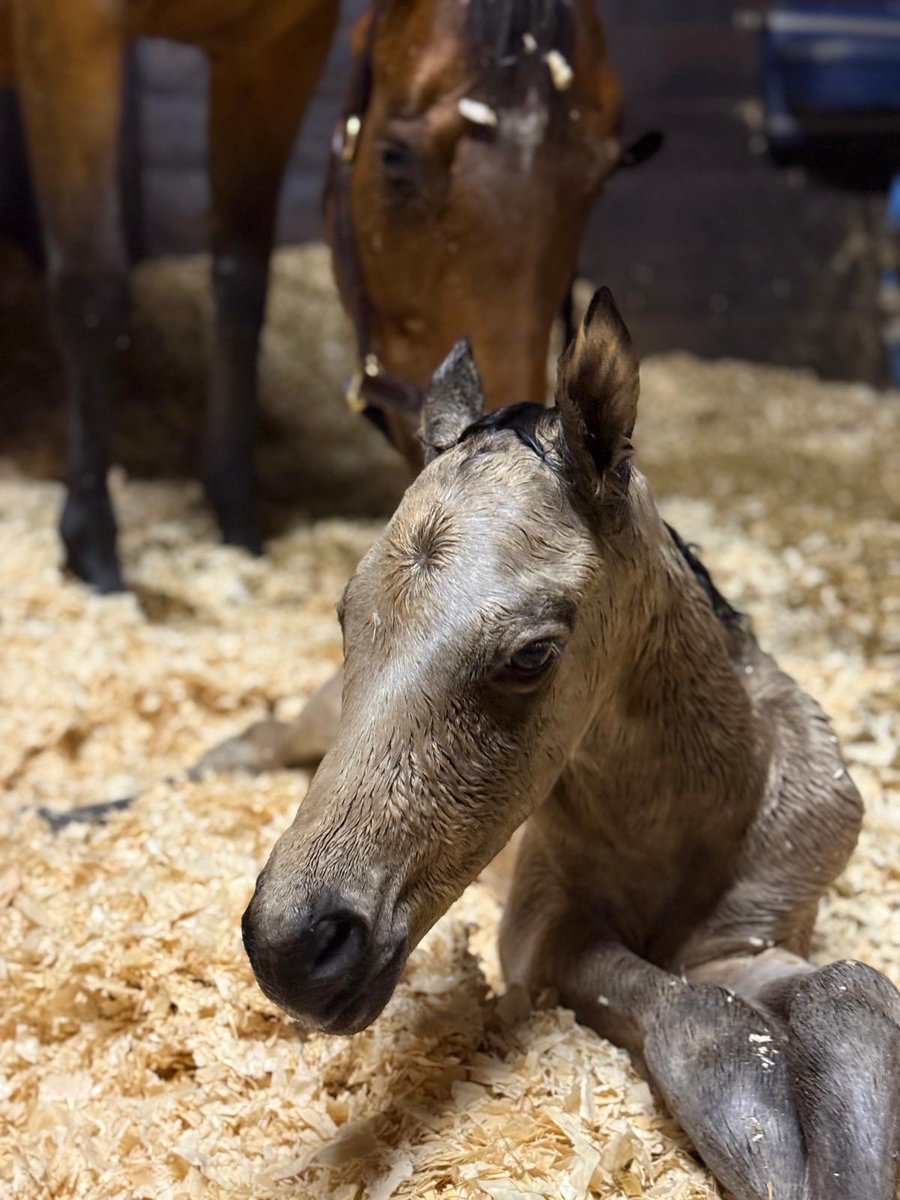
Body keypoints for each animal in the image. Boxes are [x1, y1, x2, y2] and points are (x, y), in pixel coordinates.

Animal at [0, 0, 628, 592]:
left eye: (599, 178)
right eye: (395, 158)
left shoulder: (274, 50)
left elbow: (242, 280)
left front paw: (236, 521)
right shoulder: (73, 37)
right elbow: (92, 291)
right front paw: (93, 549)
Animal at [240, 291, 900, 1200]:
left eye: (532, 656)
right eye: (345, 614)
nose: (294, 948)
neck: (684, 821)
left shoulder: (748, 939)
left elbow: (843, 992)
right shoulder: (541, 940)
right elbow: (695, 1019)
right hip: (311, 723)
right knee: (262, 734)